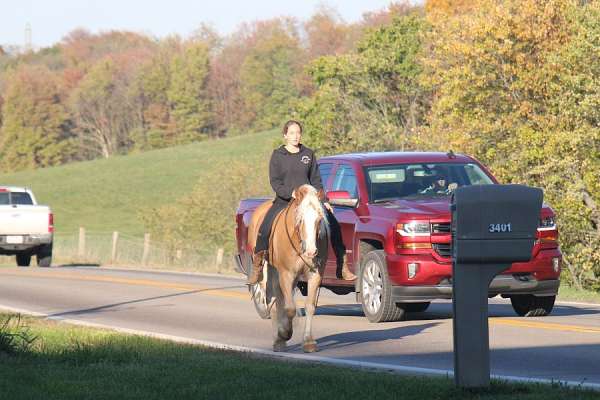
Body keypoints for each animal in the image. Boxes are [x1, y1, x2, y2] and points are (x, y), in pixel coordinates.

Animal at [246, 184, 326, 354]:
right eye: (300, 220)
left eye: (319, 219)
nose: (311, 252)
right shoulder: (286, 274)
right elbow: (289, 308)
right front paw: (285, 333)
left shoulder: (314, 274)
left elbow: (310, 307)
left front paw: (309, 341)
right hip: (267, 272)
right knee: (272, 301)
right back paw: (278, 340)